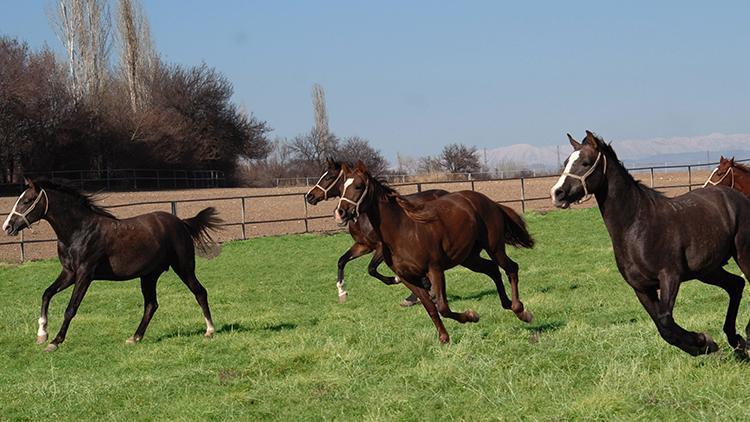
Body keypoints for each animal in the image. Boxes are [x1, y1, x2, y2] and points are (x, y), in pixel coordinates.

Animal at [2, 176, 222, 352]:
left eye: (27, 201)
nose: (7, 227)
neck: (78, 231)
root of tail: (182, 223)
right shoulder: (69, 273)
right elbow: (47, 294)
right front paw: (42, 334)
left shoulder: (85, 274)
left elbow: (71, 308)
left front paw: (55, 342)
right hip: (149, 275)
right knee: (151, 304)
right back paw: (135, 337)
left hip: (184, 267)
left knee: (199, 292)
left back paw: (210, 330)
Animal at [304, 158, 450, 306]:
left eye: (329, 177)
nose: (309, 196)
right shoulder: (363, 246)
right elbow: (342, 261)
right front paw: (342, 292)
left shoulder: (381, 247)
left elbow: (371, 269)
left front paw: (396, 279)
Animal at [334, 161, 536, 342]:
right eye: (342, 187)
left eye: (359, 186)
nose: (340, 212)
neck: (402, 231)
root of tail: (489, 201)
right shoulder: (408, 278)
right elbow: (431, 308)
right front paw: (444, 338)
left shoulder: (435, 270)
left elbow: (443, 307)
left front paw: (472, 316)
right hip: (469, 258)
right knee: (493, 269)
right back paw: (508, 305)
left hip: (494, 248)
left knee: (511, 268)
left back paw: (520, 310)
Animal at [548, 131, 750, 356]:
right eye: (566, 161)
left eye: (585, 162)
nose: (557, 193)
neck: (636, 226)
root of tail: (737, 197)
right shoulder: (641, 288)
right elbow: (663, 327)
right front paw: (703, 343)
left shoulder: (670, 276)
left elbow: (665, 320)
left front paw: (702, 341)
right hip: (707, 270)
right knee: (736, 285)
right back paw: (737, 341)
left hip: (743, 255)